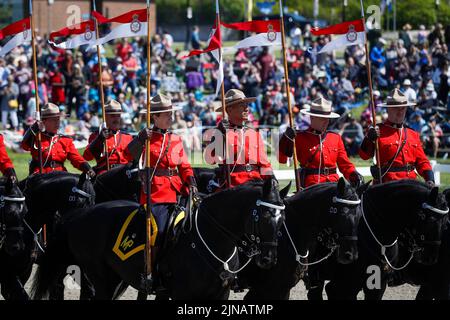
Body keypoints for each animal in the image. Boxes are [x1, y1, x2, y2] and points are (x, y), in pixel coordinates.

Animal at [30, 179, 288, 298]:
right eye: (264, 215)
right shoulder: (184, 294)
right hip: (101, 277)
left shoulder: (219, 295)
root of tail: (81, 215)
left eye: (282, 218)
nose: (269, 259)